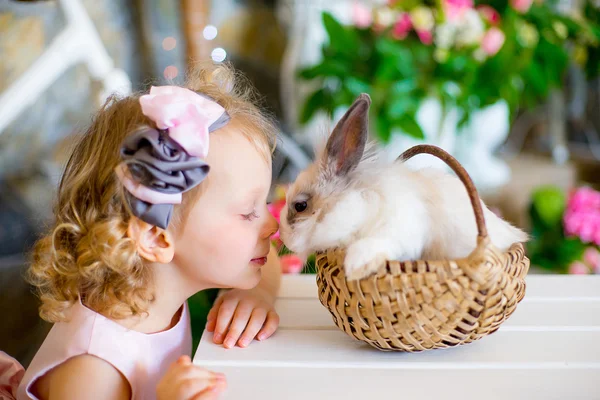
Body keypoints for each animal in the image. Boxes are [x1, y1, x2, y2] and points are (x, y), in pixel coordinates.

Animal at [278, 94, 528, 282]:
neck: (359, 205)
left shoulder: (396, 230)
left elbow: (373, 245)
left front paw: (355, 267)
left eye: (300, 206)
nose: (283, 238)